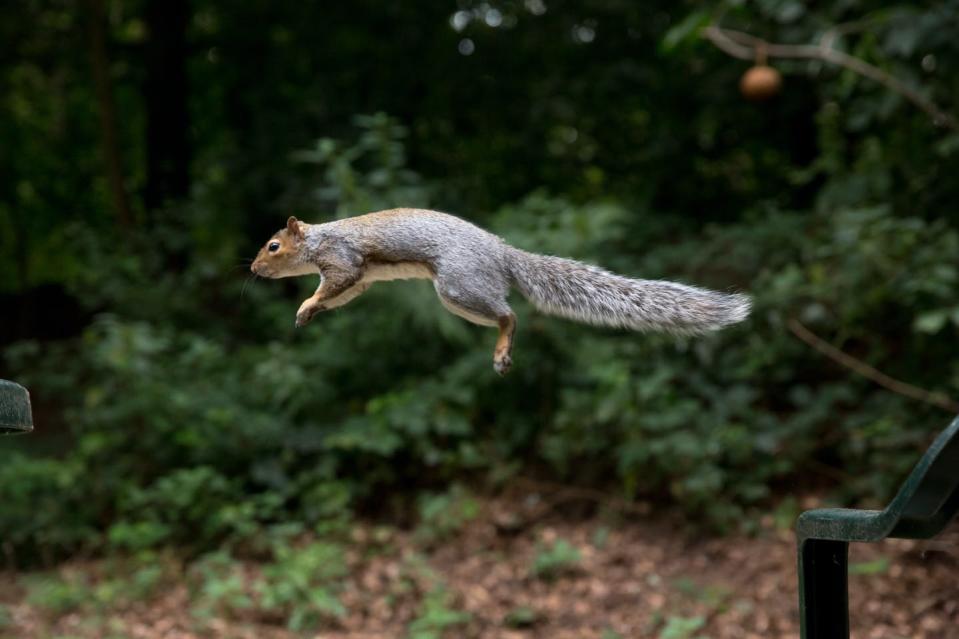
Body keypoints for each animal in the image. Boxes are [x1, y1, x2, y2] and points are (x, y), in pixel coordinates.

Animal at [251, 209, 752, 376]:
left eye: (274, 246)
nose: (254, 269)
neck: (318, 240)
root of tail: (502, 253)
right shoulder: (360, 278)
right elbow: (342, 294)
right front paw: (308, 312)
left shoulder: (343, 258)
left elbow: (334, 282)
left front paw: (306, 302)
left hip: (458, 286)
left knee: (509, 315)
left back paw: (502, 350)